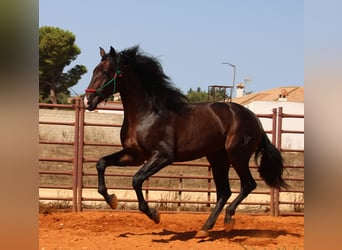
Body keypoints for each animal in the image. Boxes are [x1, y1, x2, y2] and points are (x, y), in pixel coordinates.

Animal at [84, 46, 288, 237]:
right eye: (94, 70)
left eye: (106, 71)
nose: (88, 100)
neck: (147, 115)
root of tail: (255, 119)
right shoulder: (134, 156)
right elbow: (101, 163)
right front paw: (112, 200)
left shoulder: (162, 157)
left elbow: (136, 180)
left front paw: (154, 215)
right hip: (217, 159)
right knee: (224, 192)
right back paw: (205, 229)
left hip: (237, 156)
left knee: (248, 184)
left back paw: (228, 219)